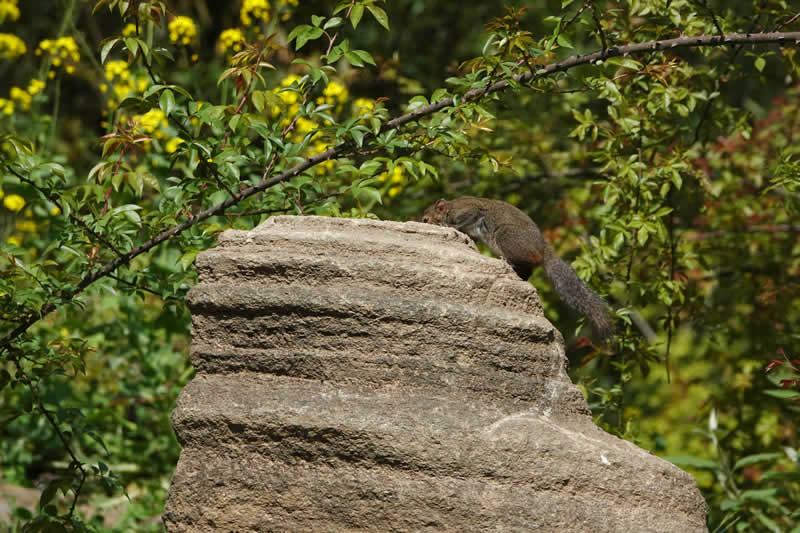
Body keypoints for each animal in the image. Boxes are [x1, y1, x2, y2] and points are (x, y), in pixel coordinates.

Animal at [424, 195, 612, 340]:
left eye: (426, 219)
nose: (423, 221)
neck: (449, 208)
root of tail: (543, 250)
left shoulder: (468, 209)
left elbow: (466, 218)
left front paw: (448, 226)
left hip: (506, 235)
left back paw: (506, 260)